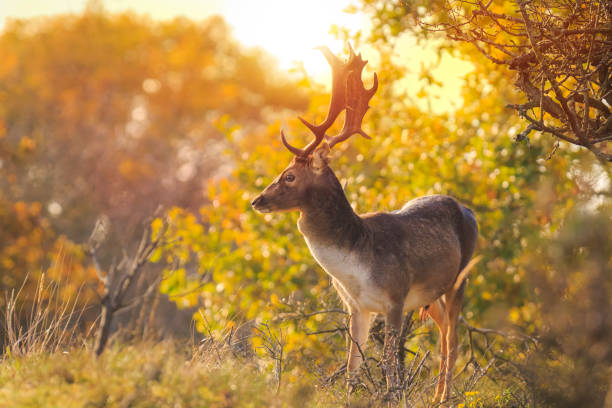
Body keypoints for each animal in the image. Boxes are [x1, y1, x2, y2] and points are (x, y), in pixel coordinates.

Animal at [251, 44, 480, 402]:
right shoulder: (356, 306)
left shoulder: (396, 296)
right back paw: (437, 396)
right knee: (444, 330)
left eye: (289, 176)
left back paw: (443, 399)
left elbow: (388, 362)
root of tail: (468, 210)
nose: (257, 201)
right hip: (431, 295)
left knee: (453, 340)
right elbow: (352, 365)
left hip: (461, 278)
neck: (356, 264)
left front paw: (396, 397)